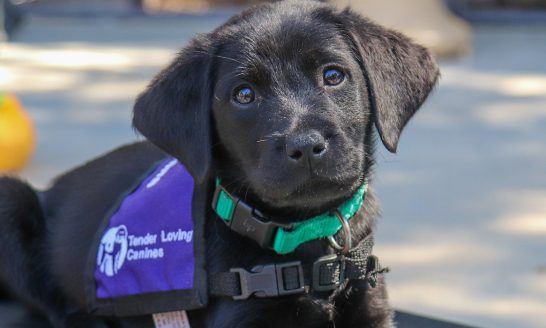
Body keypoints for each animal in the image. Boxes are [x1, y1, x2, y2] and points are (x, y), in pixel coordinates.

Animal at [0, 0, 436, 326]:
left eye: (333, 75)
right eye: (244, 95)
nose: (305, 146)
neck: (306, 241)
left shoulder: (371, 309)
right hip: (12, 197)